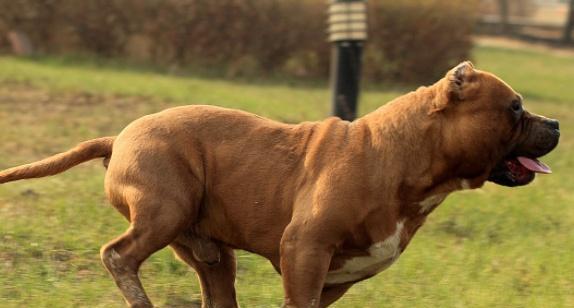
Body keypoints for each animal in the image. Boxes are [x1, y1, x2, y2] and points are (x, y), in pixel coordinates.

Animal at [0, 61, 560, 306]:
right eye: (514, 108)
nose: (555, 123)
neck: (402, 156)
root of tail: (118, 137)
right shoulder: (305, 250)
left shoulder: (335, 279)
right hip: (165, 210)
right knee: (118, 255)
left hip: (210, 256)